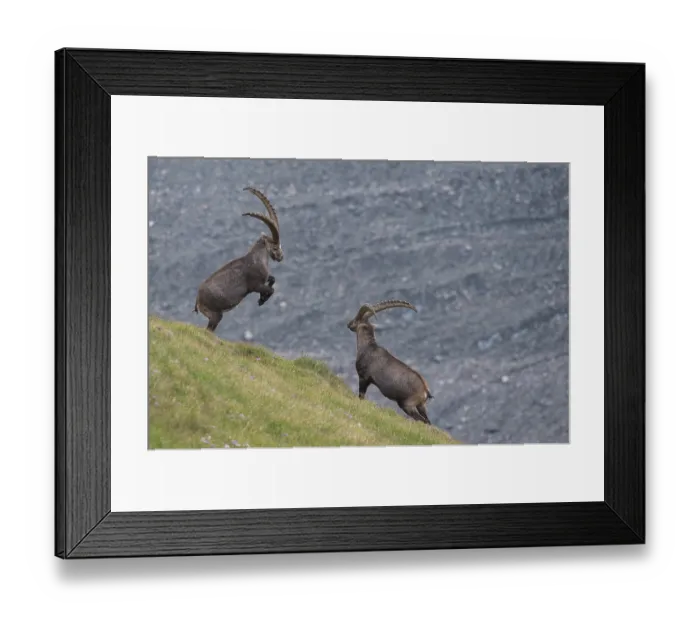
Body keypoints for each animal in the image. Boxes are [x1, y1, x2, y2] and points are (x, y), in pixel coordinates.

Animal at [193, 187, 283, 332]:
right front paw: (261, 300)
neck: (257, 259)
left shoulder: (264, 278)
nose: (281, 257)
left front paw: (262, 298)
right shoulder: (255, 285)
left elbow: (272, 279)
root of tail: (198, 300)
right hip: (215, 315)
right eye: (275, 247)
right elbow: (271, 290)